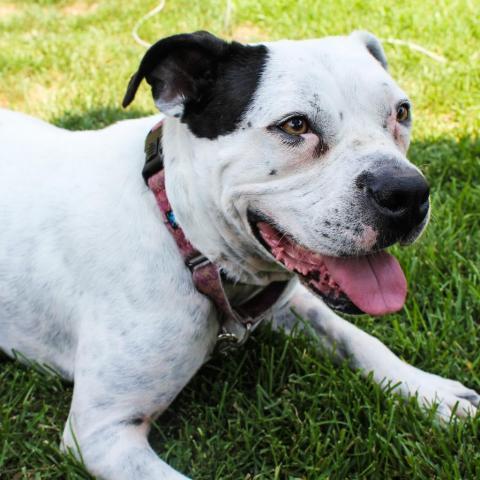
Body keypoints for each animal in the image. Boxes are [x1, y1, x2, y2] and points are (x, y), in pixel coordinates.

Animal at [0, 31, 480, 480]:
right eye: (295, 125)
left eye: (401, 112)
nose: (408, 192)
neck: (180, 230)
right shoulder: (103, 432)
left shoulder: (290, 302)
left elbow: (359, 339)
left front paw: (434, 395)